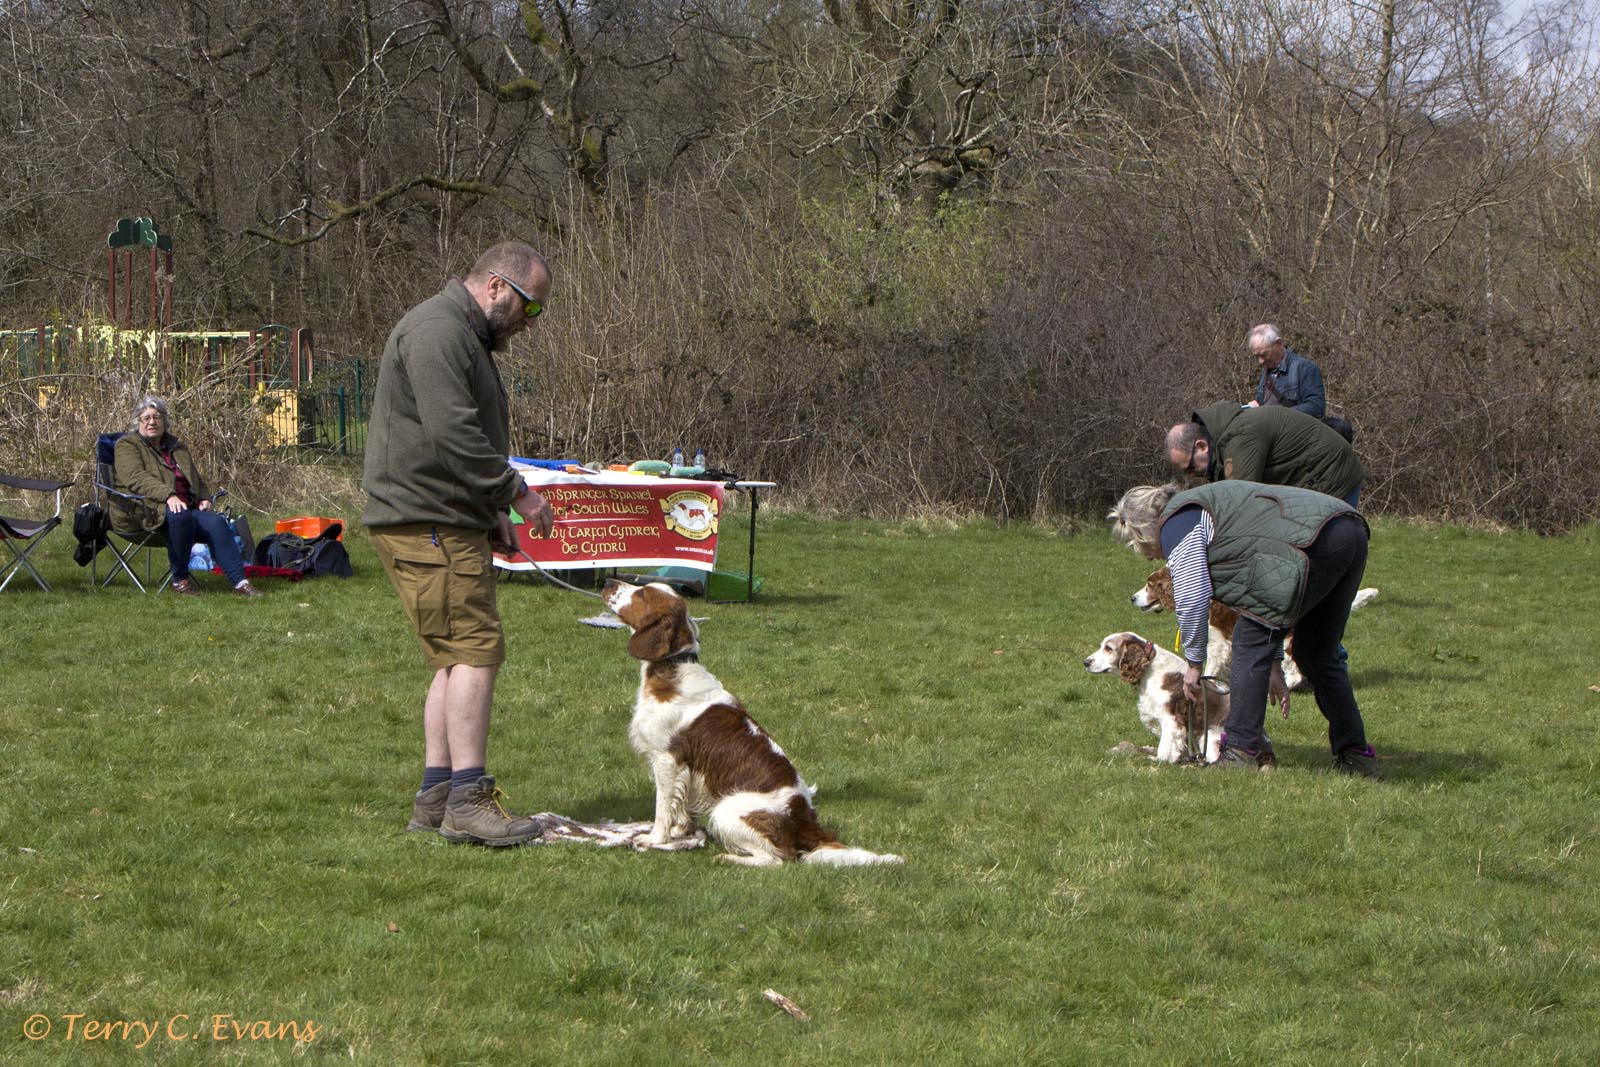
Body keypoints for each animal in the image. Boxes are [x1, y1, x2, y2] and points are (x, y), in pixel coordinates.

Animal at [602, 579, 904, 868]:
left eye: (643, 594)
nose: (608, 581)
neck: (671, 668)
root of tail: (806, 822)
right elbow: (680, 808)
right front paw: (679, 833)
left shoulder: (667, 759)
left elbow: (662, 809)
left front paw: (654, 839)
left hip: (726, 809)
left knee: (778, 859)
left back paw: (730, 858)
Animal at [1084, 631, 1230, 764]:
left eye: (1108, 648)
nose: (1085, 662)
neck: (1149, 670)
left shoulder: (1171, 720)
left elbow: (1165, 747)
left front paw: (1159, 760)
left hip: (1210, 737)